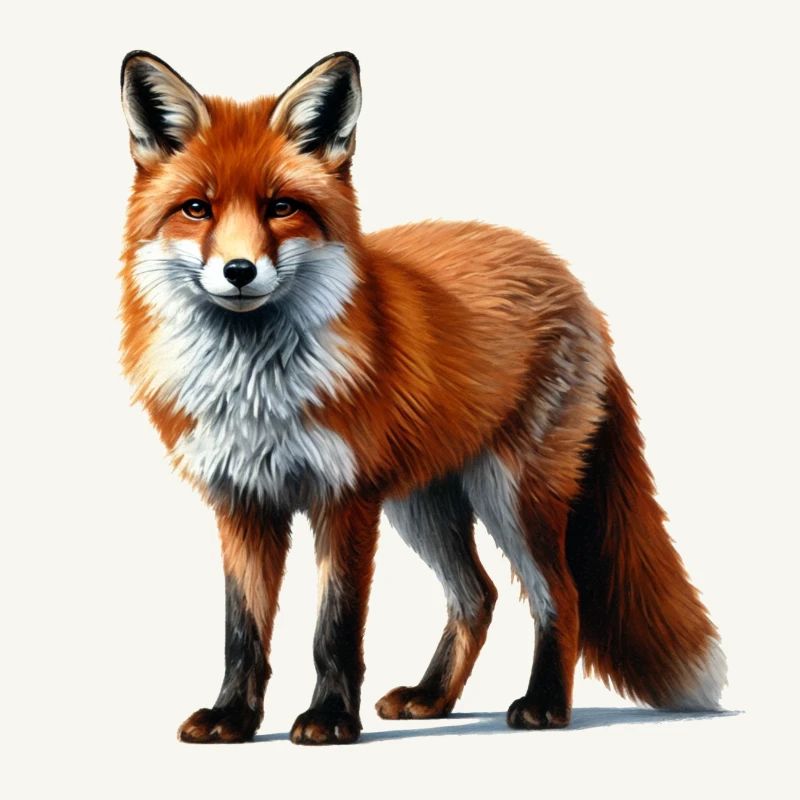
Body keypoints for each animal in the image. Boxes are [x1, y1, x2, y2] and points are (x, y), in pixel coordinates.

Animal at [119, 50, 726, 745]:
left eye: (281, 207)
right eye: (197, 209)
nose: (239, 271)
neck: (256, 386)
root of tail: (566, 277)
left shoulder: (346, 499)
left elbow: (335, 629)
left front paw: (330, 718)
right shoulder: (242, 501)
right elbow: (242, 632)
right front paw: (234, 718)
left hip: (512, 494)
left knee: (560, 594)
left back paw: (544, 704)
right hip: (424, 505)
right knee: (478, 596)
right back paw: (433, 697)